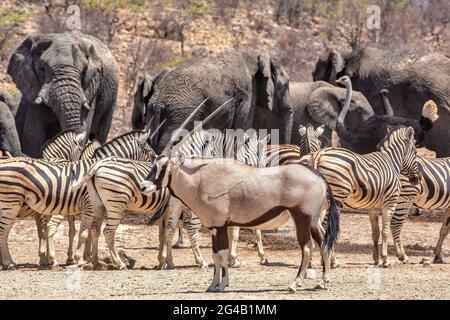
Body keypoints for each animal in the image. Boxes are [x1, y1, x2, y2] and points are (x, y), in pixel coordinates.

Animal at [0, 129, 153, 268]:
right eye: (151, 153)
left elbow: (79, 231)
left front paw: (81, 258)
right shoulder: (87, 206)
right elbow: (82, 232)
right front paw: (81, 258)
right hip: (12, 204)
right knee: (7, 231)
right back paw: (13, 263)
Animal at [133, 51, 296, 154]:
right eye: (284, 85)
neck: (255, 61)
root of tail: (158, 102)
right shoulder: (248, 96)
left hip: (155, 113)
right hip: (181, 113)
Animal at [310, 127, 418, 268]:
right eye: (415, 152)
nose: (416, 179)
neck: (392, 162)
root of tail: (320, 153)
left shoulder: (373, 207)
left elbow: (375, 232)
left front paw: (377, 259)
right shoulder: (390, 203)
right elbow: (385, 231)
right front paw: (385, 259)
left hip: (321, 201)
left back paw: (314, 260)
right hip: (337, 198)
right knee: (326, 228)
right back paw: (332, 260)